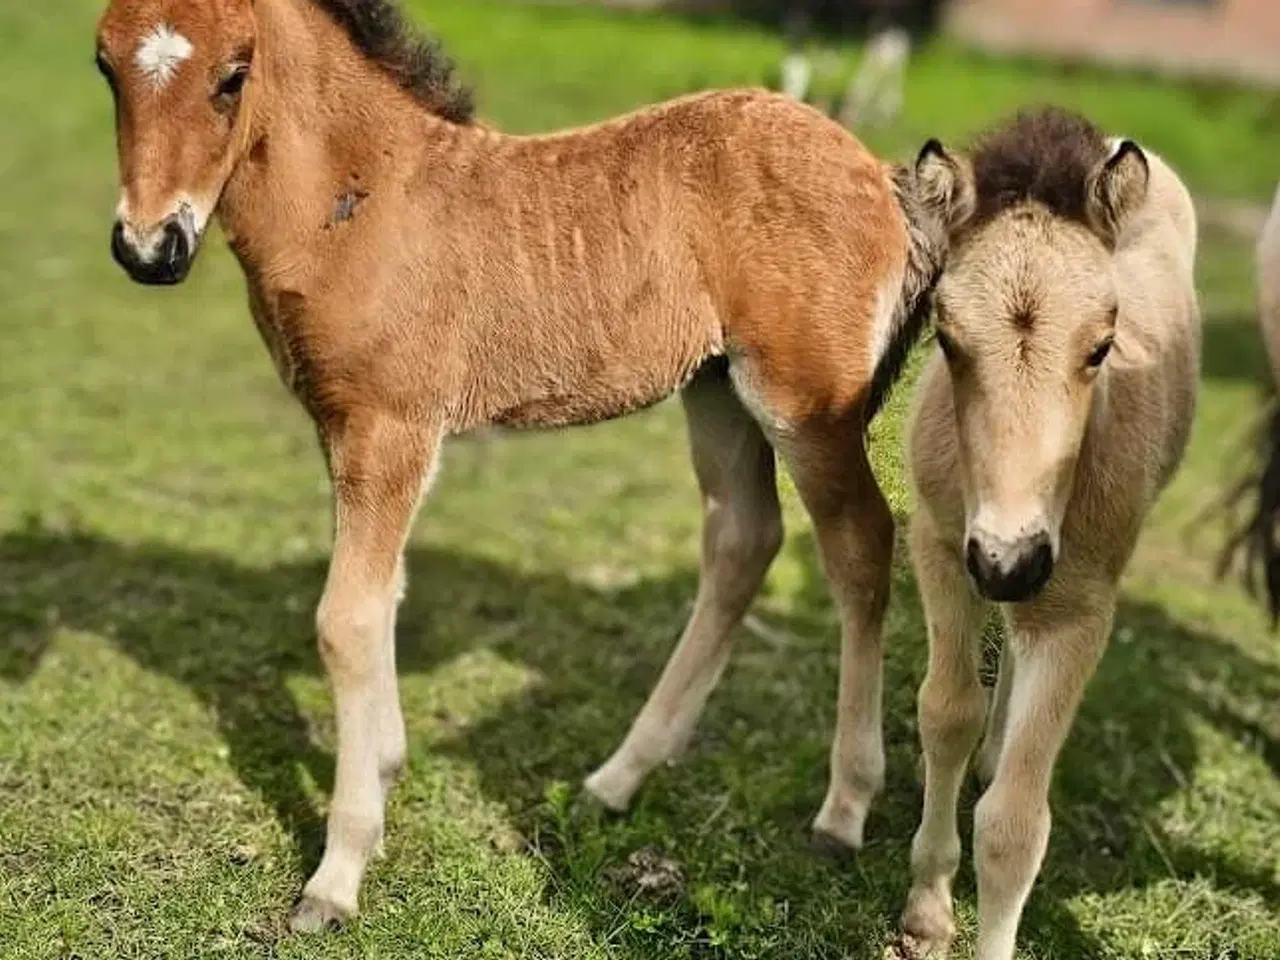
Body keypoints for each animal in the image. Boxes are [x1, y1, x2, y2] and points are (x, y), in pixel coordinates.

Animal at [92, 0, 962, 936]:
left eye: (234, 75)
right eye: (105, 66)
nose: (150, 247)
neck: (358, 200)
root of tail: (882, 174)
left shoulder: (389, 429)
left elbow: (345, 617)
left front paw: (337, 872)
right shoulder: (344, 429)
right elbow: (385, 595)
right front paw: (387, 771)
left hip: (804, 404)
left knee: (858, 547)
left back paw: (843, 810)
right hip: (717, 390)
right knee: (743, 542)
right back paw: (618, 779)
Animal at [901, 108, 1198, 957]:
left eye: (1102, 345)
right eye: (946, 339)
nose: (1010, 558)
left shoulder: (1080, 609)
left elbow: (1014, 823)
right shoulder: (943, 550)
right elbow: (947, 712)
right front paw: (927, 908)